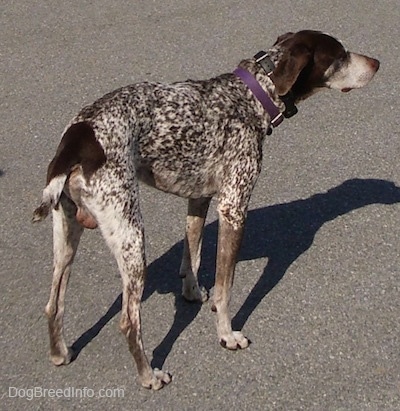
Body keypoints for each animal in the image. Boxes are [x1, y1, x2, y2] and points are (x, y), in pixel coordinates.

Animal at [32, 31, 380, 390]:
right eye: (339, 56)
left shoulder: (198, 200)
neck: (252, 95)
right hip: (131, 237)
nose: (377, 63)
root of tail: (77, 139)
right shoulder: (233, 210)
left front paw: (193, 293)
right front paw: (227, 335)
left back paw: (59, 353)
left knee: (53, 304)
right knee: (129, 322)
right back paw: (149, 376)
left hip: (67, 234)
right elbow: (225, 290)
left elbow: (193, 254)